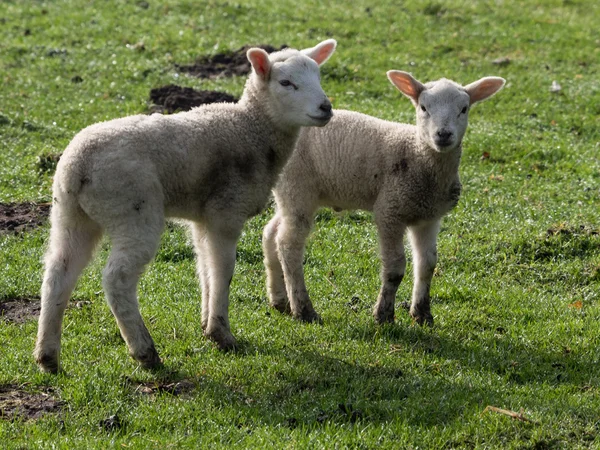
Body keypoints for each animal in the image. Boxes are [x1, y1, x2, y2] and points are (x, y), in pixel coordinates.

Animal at [34, 39, 338, 372]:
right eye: (286, 83)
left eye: (319, 77)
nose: (326, 108)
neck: (251, 129)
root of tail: (78, 167)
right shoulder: (225, 212)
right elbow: (223, 270)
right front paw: (221, 333)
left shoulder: (202, 218)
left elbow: (204, 268)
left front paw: (207, 324)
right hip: (132, 210)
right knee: (117, 279)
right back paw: (145, 351)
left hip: (70, 214)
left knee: (58, 273)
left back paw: (48, 356)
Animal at [264, 70, 504, 326]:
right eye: (424, 107)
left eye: (464, 109)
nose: (443, 135)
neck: (418, 155)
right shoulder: (390, 210)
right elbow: (395, 268)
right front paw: (384, 314)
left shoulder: (429, 217)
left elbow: (427, 264)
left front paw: (422, 313)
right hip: (297, 186)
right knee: (288, 245)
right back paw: (303, 309)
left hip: (290, 192)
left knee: (270, 233)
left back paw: (279, 300)